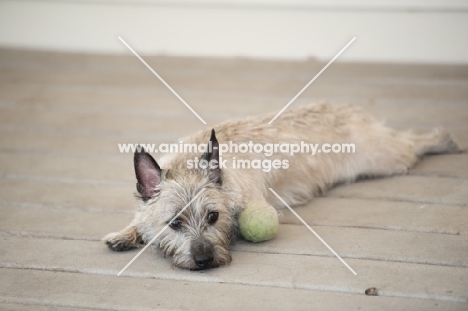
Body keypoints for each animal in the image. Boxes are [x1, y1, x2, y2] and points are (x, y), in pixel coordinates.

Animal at [103, 102, 460, 270]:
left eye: (213, 217)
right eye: (174, 223)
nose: (204, 260)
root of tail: (350, 109)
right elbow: (138, 218)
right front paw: (124, 234)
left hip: (383, 159)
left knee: (410, 143)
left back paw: (444, 139)